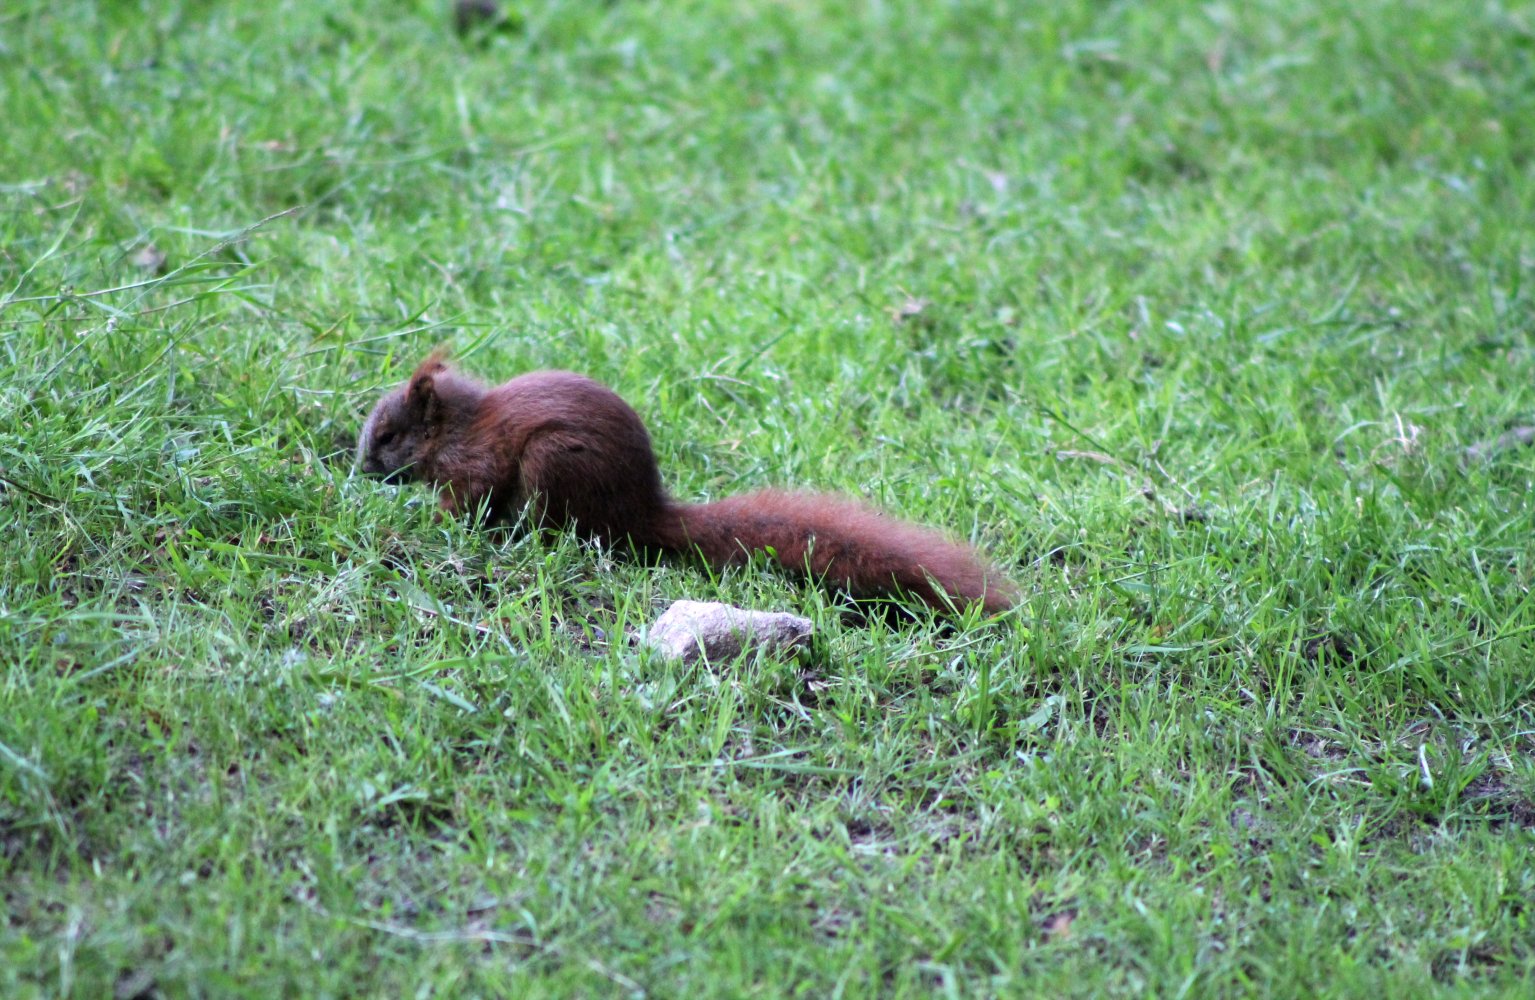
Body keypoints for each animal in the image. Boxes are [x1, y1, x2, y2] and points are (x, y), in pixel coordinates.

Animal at [353, 356, 1013, 614]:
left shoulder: (478, 463)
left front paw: (431, 521)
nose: (360, 469)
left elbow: (468, 496)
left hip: (551, 465)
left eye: (387, 435)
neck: (454, 429)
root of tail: (640, 511)